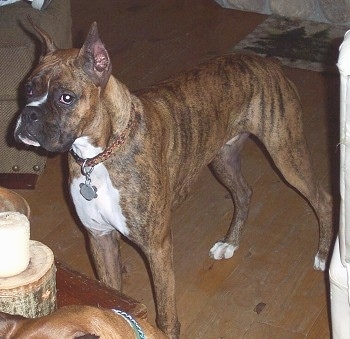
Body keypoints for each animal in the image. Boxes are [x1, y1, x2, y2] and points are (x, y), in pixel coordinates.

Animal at [15, 22, 332, 338]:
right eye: (28, 89)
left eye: (66, 97)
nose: (29, 114)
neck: (100, 156)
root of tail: (268, 62)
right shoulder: (100, 238)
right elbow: (111, 292)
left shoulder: (157, 248)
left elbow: (166, 313)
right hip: (223, 158)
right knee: (244, 193)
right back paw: (230, 243)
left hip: (286, 154)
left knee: (323, 199)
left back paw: (322, 254)